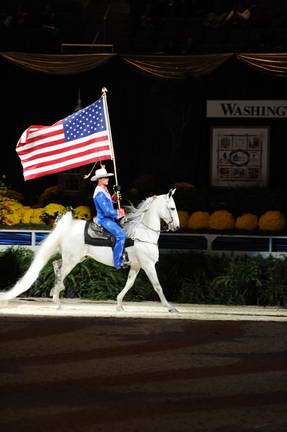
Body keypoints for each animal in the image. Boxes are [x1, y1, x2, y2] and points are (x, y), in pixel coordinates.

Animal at [0, 189, 180, 310]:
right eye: (172, 208)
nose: (176, 227)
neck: (142, 233)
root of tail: (69, 227)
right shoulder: (148, 265)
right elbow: (157, 285)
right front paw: (170, 307)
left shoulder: (136, 266)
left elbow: (129, 284)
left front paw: (119, 304)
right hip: (72, 260)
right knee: (61, 271)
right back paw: (57, 300)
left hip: (76, 258)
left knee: (56, 265)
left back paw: (56, 291)